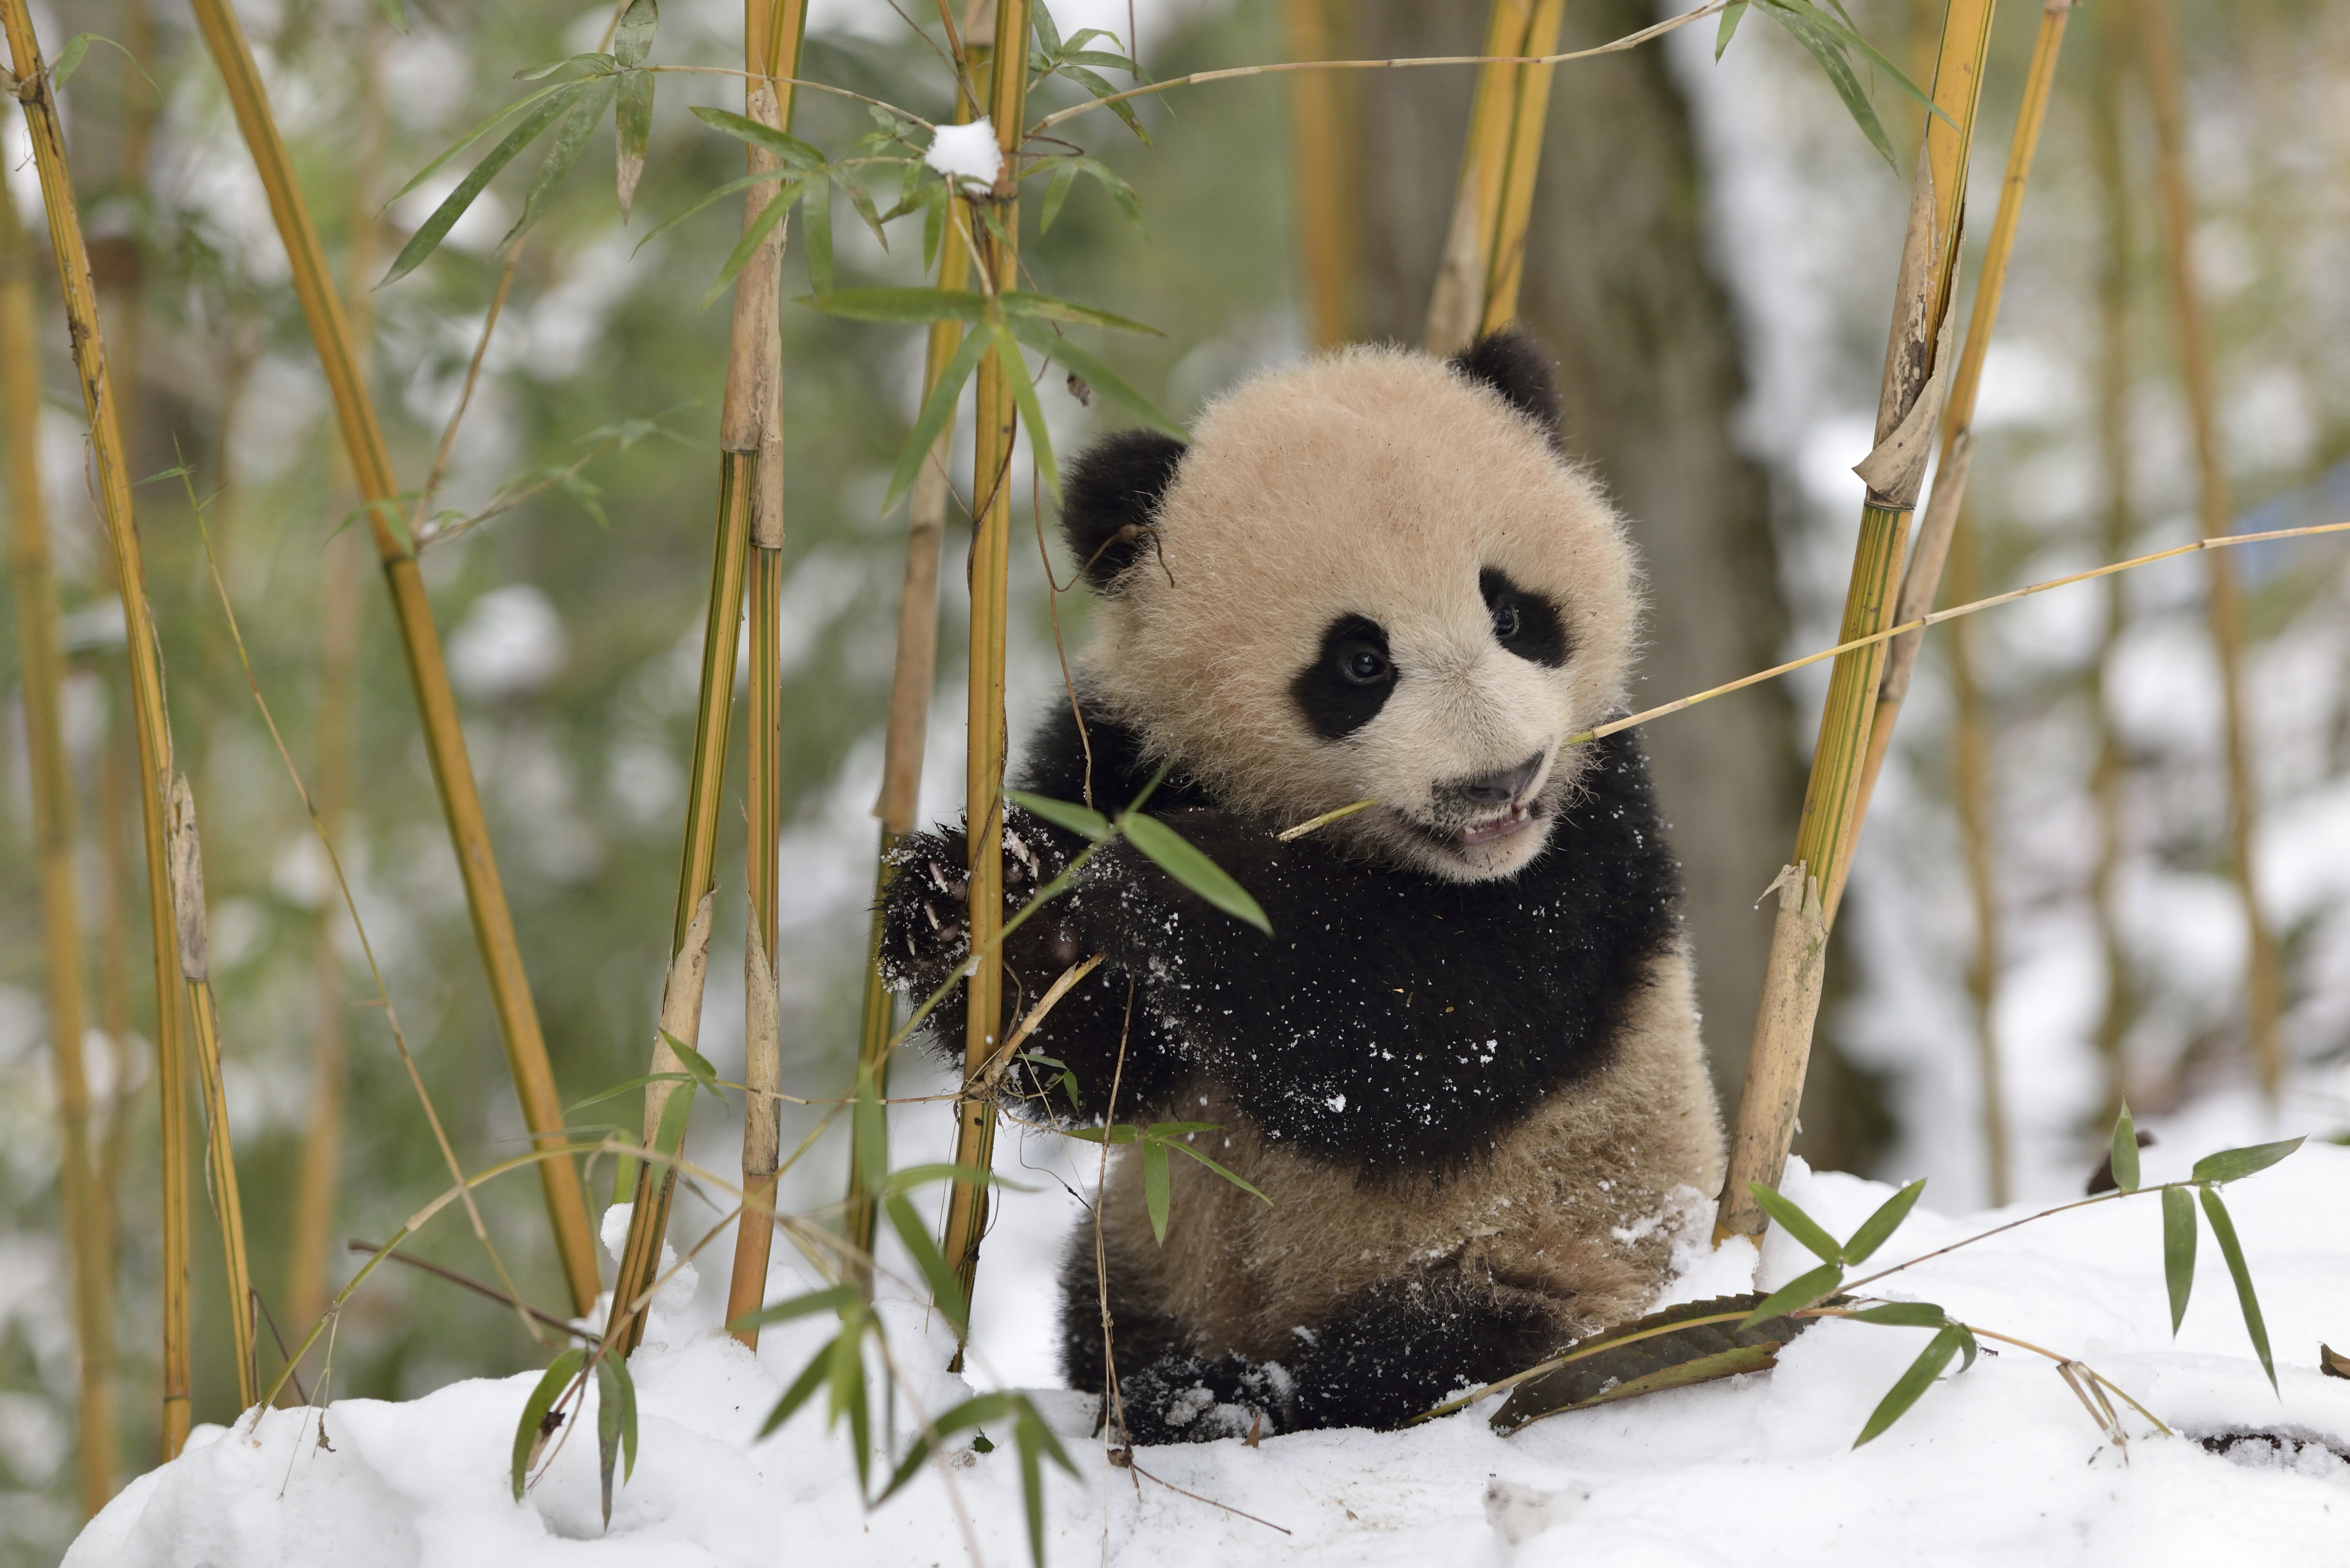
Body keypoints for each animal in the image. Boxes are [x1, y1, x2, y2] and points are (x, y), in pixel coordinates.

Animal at [881, 328, 1724, 1444]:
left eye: (1512, 613)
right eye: (1359, 662)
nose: (1496, 781)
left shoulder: (1592, 831)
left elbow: (1432, 1034)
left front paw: (1170, 872)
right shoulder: (1118, 749)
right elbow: (1098, 1061)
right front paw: (962, 902)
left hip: (1563, 1244)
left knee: (1436, 1353)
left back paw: (1250, 1396)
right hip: (1154, 1242)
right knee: (1107, 1304)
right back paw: (1170, 1385)